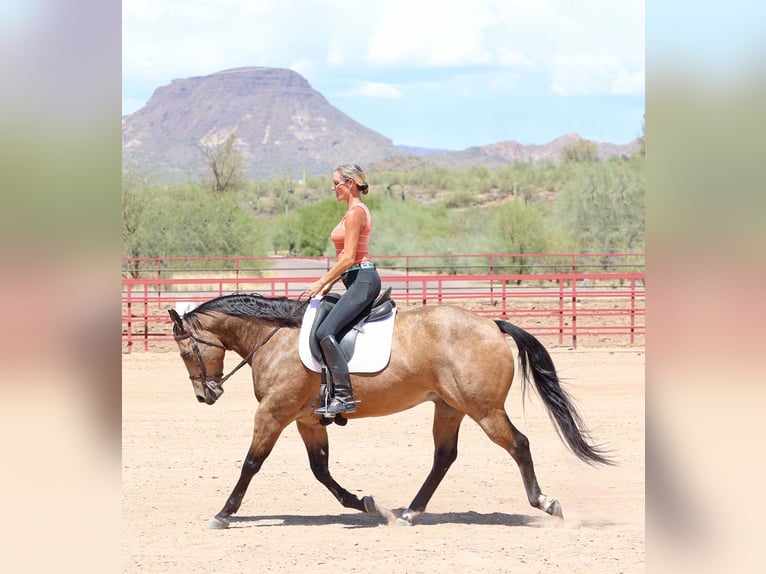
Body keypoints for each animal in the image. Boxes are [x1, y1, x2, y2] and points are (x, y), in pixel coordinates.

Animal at [168, 292, 612, 532]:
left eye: (187, 351)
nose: (205, 395)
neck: (274, 338)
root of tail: (493, 325)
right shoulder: (307, 419)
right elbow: (321, 470)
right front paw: (363, 503)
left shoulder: (274, 414)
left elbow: (251, 463)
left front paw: (223, 514)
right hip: (449, 407)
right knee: (444, 456)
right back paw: (410, 512)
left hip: (484, 409)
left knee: (518, 444)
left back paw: (545, 503)